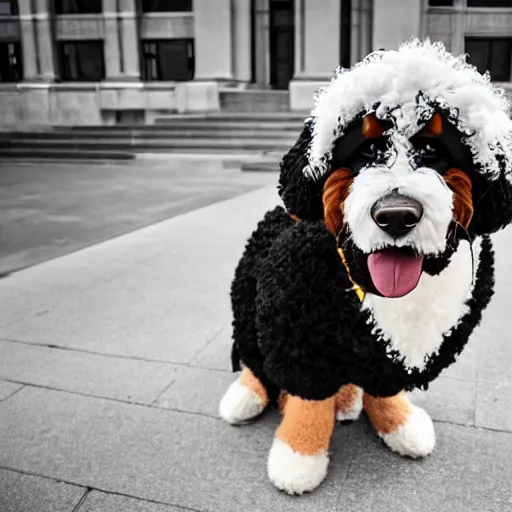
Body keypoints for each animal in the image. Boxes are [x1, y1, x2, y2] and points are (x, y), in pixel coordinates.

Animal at [218, 41, 512, 496]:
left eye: (433, 151)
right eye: (367, 152)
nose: (396, 216)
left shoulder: (385, 356)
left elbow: (383, 390)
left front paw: (401, 425)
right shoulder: (298, 336)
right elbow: (307, 402)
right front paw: (297, 458)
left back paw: (347, 399)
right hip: (248, 300)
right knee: (255, 362)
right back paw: (246, 398)